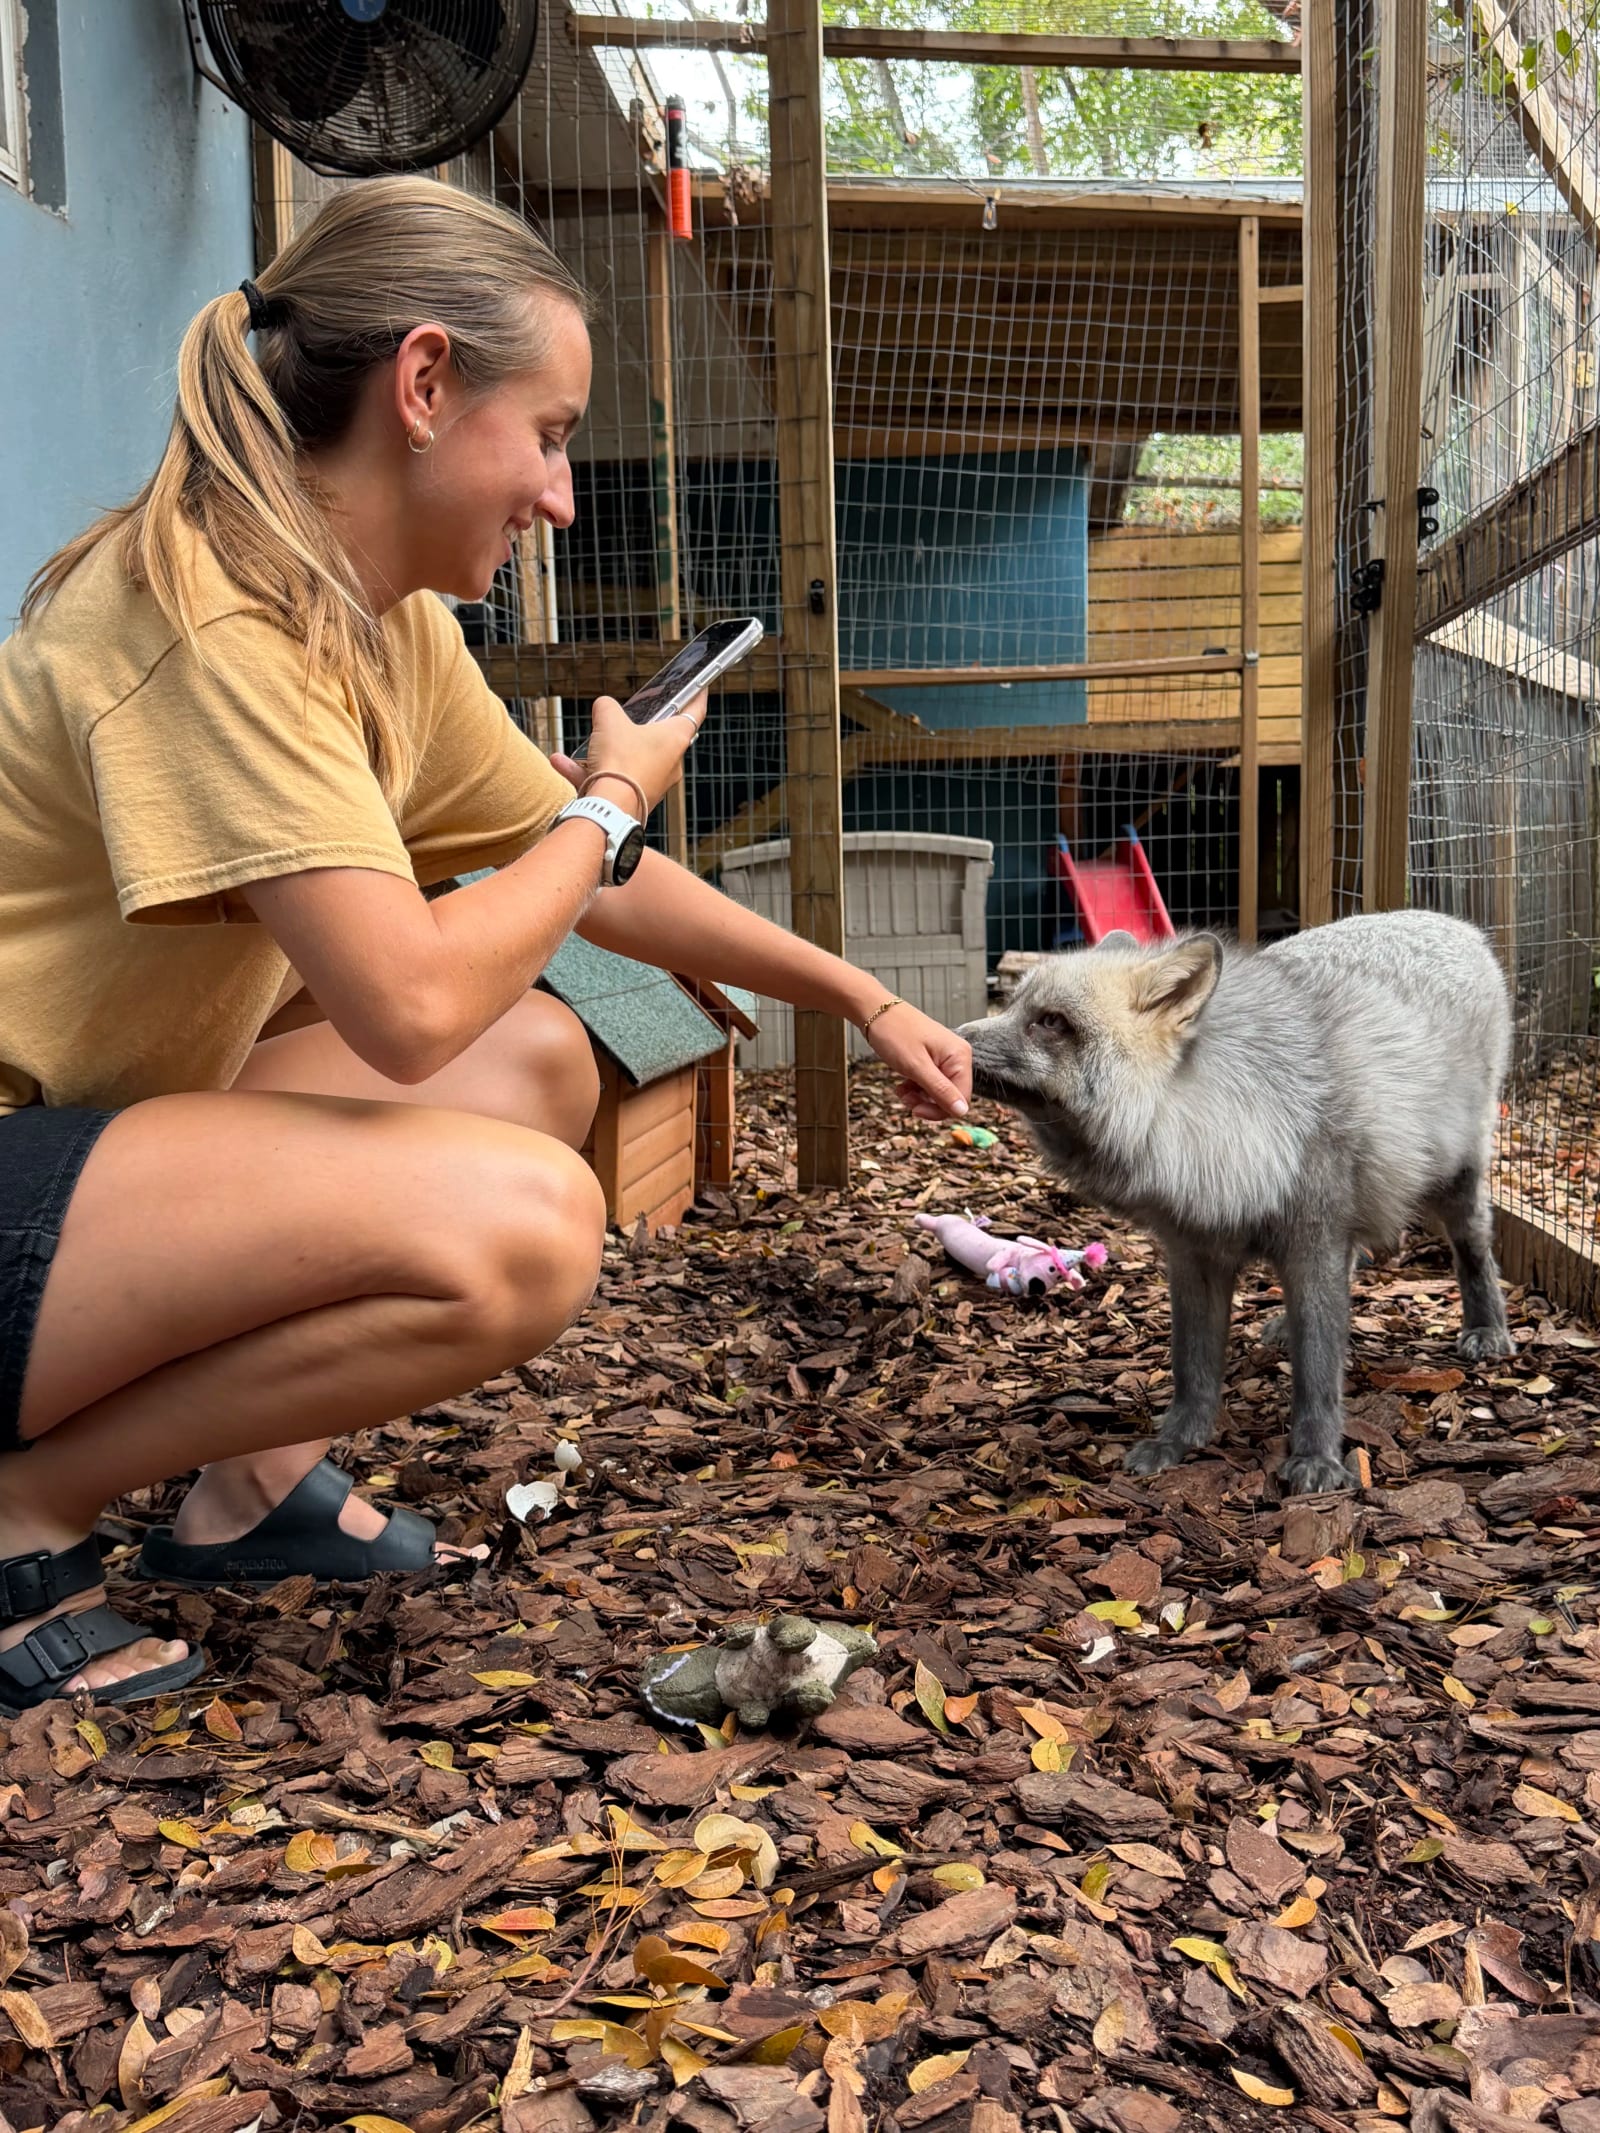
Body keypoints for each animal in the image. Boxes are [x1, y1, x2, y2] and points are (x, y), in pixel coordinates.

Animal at [960, 910, 1516, 1493]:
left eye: (1050, 1022)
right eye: (1014, 1005)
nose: (955, 1038)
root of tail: (1454, 922)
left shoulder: (1313, 1243)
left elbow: (1318, 1373)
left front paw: (1317, 1460)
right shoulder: (1193, 1255)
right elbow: (1193, 1367)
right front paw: (1179, 1442)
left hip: (1456, 1183)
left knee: (1473, 1252)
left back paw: (1488, 1329)